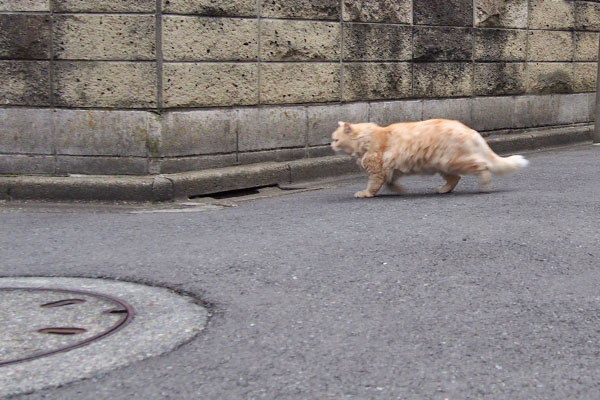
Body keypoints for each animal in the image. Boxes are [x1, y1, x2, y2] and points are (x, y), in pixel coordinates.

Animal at [332, 120, 528, 198]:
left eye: (336, 139)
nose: (331, 145)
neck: (365, 139)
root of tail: (470, 130)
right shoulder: (391, 169)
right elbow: (390, 182)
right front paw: (399, 189)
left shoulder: (377, 170)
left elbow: (372, 186)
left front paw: (365, 193)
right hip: (444, 166)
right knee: (455, 178)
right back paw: (443, 190)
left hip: (453, 162)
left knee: (482, 166)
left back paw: (485, 184)